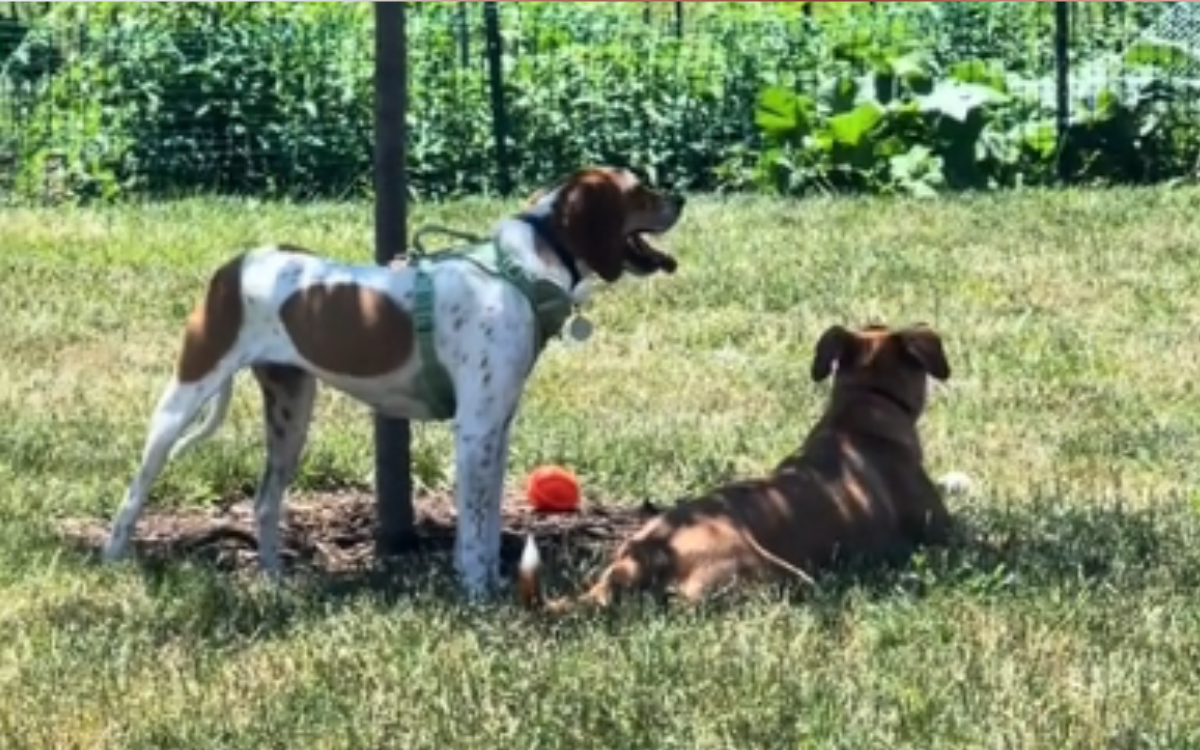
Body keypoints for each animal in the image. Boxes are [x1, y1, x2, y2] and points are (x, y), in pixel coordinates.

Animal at [105, 166, 686, 600]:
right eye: (638, 189)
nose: (679, 197)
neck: (518, 273)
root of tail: (234, 264)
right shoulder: (474, 430)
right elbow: (475, 528)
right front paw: (478, 597)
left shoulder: (495, 429)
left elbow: (485, 523)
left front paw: (488, 585)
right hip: (184, 396)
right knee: (133, 494)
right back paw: (113, 559)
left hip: (291, 412)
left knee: (266, 502)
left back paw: (273, 582)